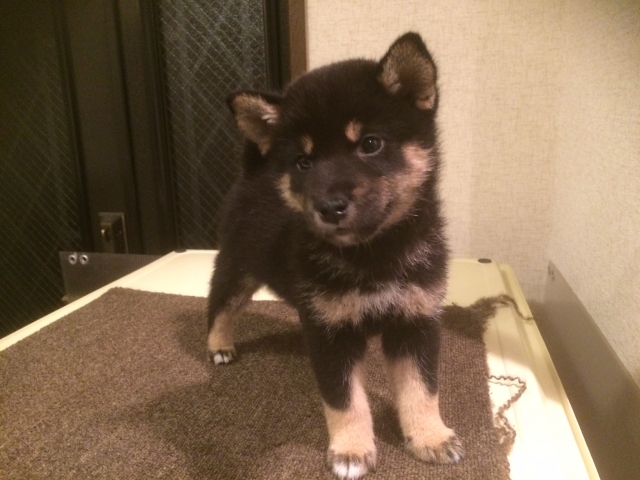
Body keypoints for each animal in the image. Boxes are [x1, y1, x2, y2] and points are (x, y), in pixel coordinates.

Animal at [206, 32, 463, 479]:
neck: (373, 254)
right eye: (303, 162)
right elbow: (345, 402)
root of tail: (253, 173)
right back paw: (219, 344)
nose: (328, 206)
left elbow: (422, 390)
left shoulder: (416, 321)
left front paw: (429, 437)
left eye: (370, 144)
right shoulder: (332, 337)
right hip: (238, 266)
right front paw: (352, 450)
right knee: (220, 305)